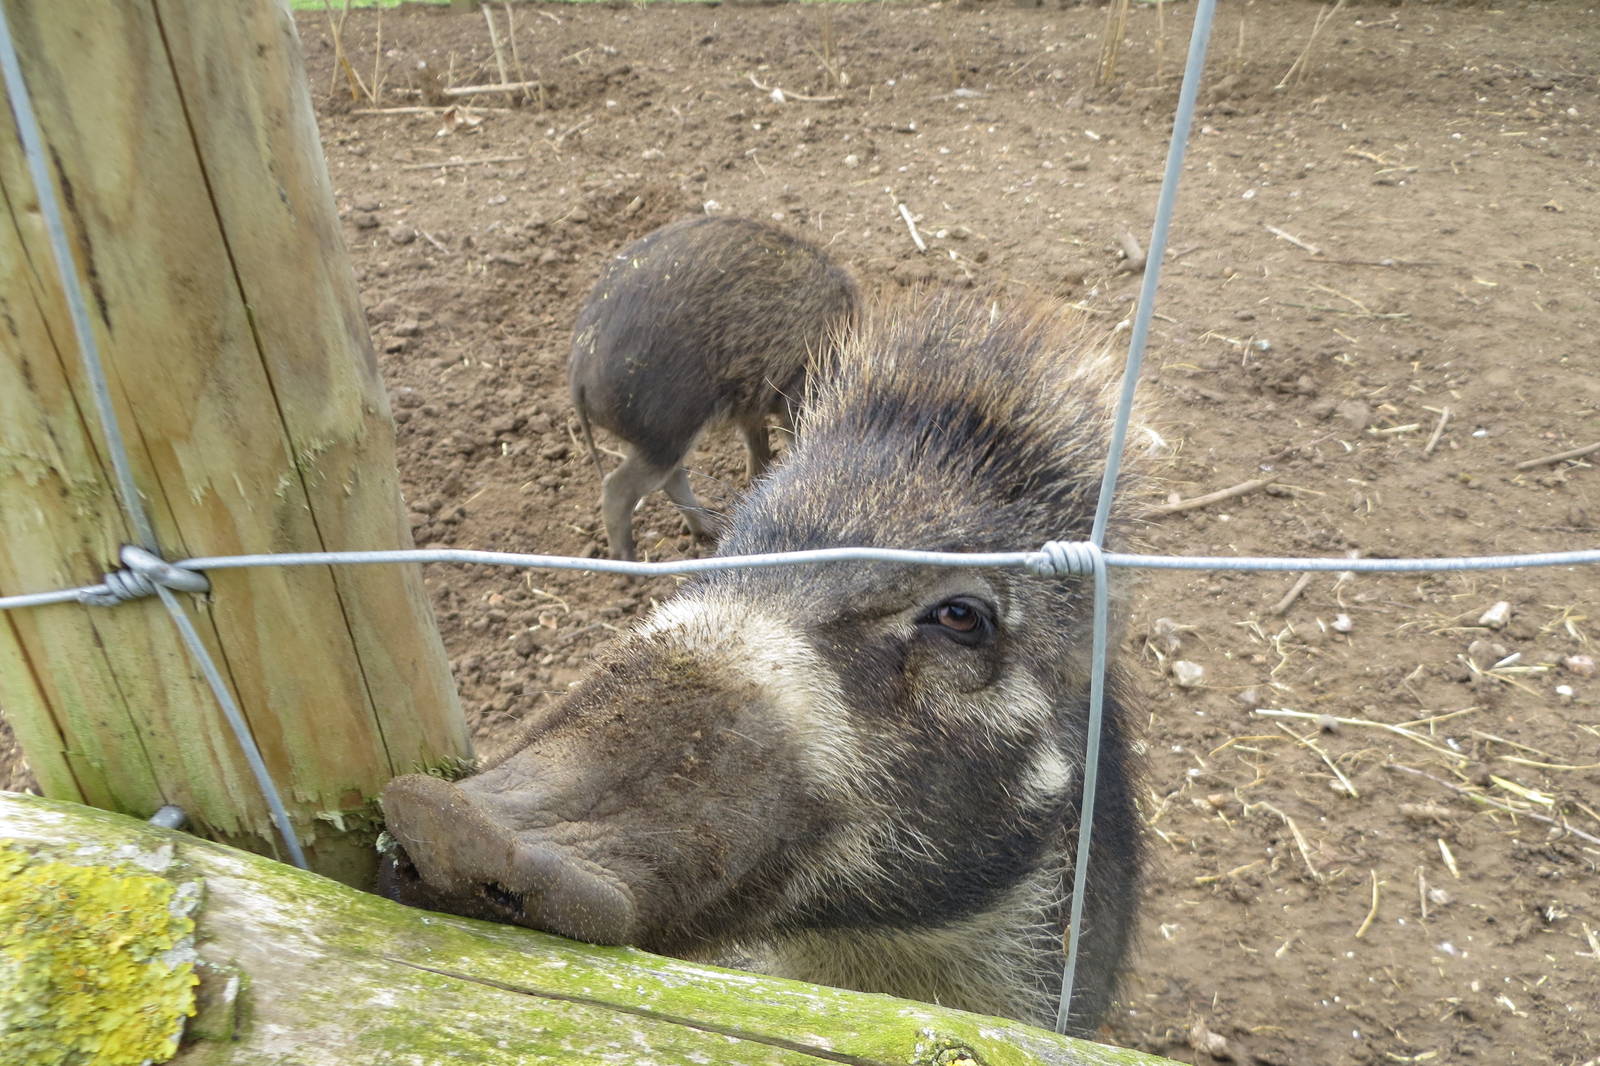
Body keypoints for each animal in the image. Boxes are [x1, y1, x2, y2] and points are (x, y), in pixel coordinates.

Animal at [568, 215, 859, 560]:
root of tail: (578, 375)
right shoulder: (794, 392)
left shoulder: (752, 402)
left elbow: (757, 445)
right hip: (669, 431)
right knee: (618, 489)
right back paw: (631, 563)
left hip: (656, 439)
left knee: (672, 477)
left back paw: (711, 529)